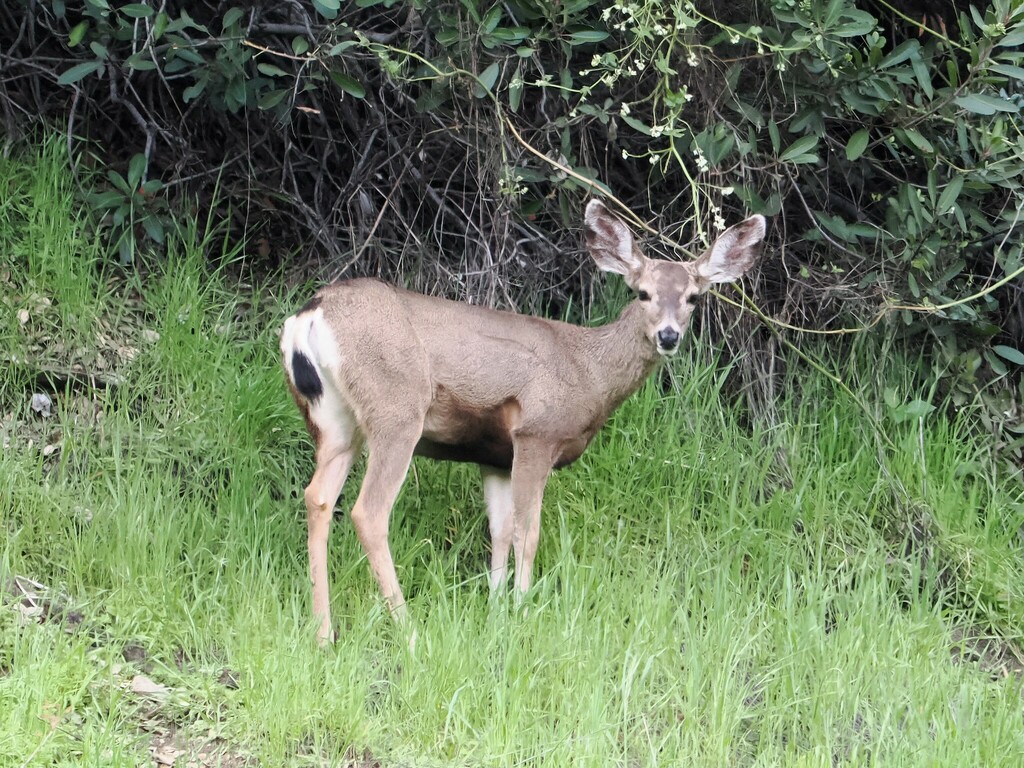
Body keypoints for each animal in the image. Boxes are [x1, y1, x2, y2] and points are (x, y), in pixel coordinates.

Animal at [278, 199, 761, 643]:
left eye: (693, 297)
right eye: (642, 292)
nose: (668, 336)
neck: (589, 372)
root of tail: (310, 316)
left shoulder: (493, 455)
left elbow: (501, 531)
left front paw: (496, 608)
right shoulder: (536, 434)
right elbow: (528, 533)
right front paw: (524, 609)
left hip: (334, 421)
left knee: (317, 497)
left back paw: (323, 633)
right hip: (396, 409)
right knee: (368, 511)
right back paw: (408, 629)